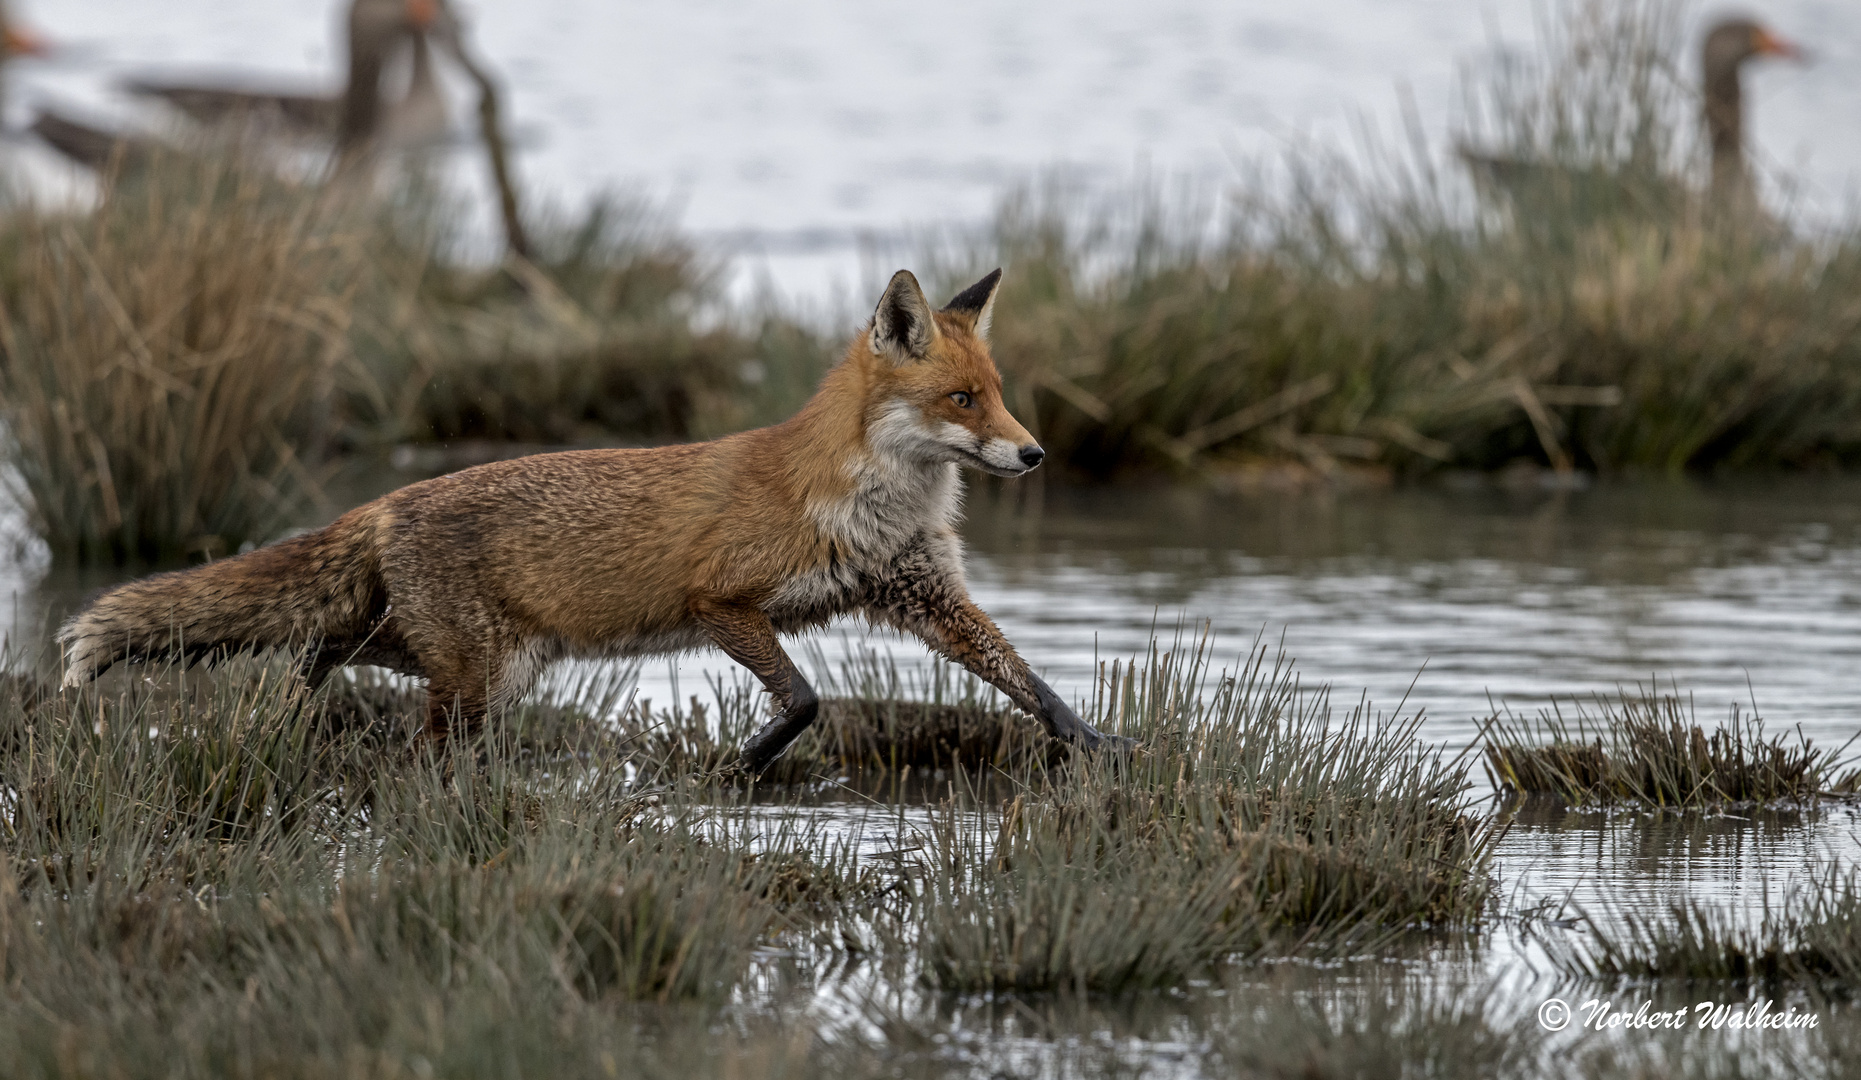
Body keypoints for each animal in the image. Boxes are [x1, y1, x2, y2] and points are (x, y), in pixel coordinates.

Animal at [61, 273, 1116, 770]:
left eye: (999, 395)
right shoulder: (722, 600)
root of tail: (389, 500)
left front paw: (1105, 748)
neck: (870, 505)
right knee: (406, 733)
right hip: (480, 676)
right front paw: (739, 767)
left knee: (328, 643)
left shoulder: (922, 594)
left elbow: (1029, 685)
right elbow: (807, 702)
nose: (1033, 455)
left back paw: (292, 704)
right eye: (961, 400)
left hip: (470, 661)